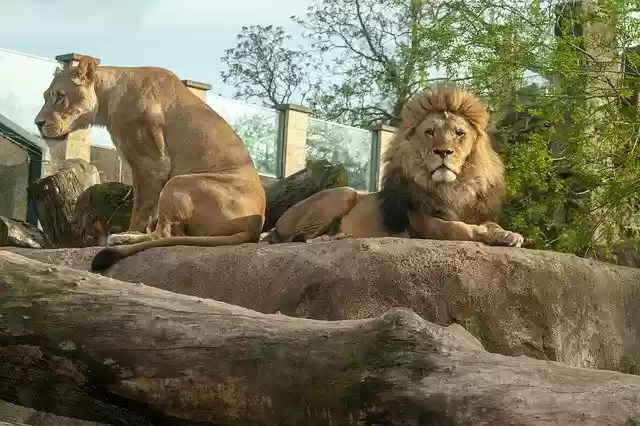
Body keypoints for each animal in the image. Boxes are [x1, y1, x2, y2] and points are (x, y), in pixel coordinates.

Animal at [34, 55, 266, 271]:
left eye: (60, 97)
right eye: (45, 96)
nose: (38, 123)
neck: (107, 96)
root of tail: (254, 227)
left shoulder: (151, 161)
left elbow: (141, 207)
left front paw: (130, 230)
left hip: (178, 182)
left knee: (163, 235)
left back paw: (123, 238)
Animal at [263, 87, 524, 248]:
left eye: (460, 134)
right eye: (430, 133)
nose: (443, 152)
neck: (452, 188)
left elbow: (488, 223)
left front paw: (507, 234)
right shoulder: (423, 223)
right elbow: (457, 229)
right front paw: (484, 234)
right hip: (343, 193)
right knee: (296, 238)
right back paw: (333, 238)